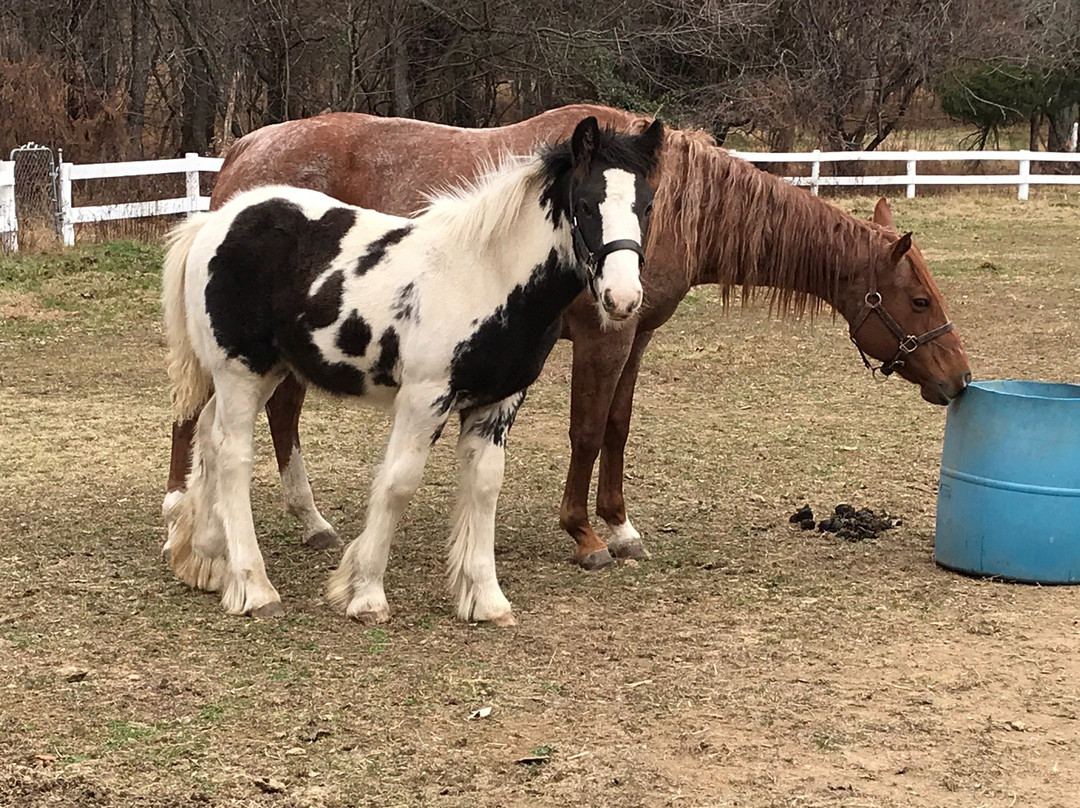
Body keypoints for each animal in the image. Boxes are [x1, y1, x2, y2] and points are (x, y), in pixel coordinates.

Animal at [160, 116, 665, 626]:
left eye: (647, 204)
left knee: (208, 435)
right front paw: (365, 594)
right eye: (584, 204)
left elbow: (485, 485)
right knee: (232, 455)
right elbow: (398, 483)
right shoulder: (426, 398)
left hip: (260, 374)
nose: (623, 299)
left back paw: (206, 558)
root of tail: (213, 221)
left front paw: (486, 599)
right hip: (240, 372)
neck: (486, 275)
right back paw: (254, 587)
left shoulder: (498, 402)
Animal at [162, 105, 972, 566]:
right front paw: (583, 534)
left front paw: (620, 526)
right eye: (919, 298)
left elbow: (616, 426)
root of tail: (242, 152)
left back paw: (309, 522)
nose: (959, 380)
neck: (670, 207)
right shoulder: (602, 339)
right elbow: (586, 429)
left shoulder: (635, 335)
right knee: (200, 413)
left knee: (276, 414)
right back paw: (185, 516)